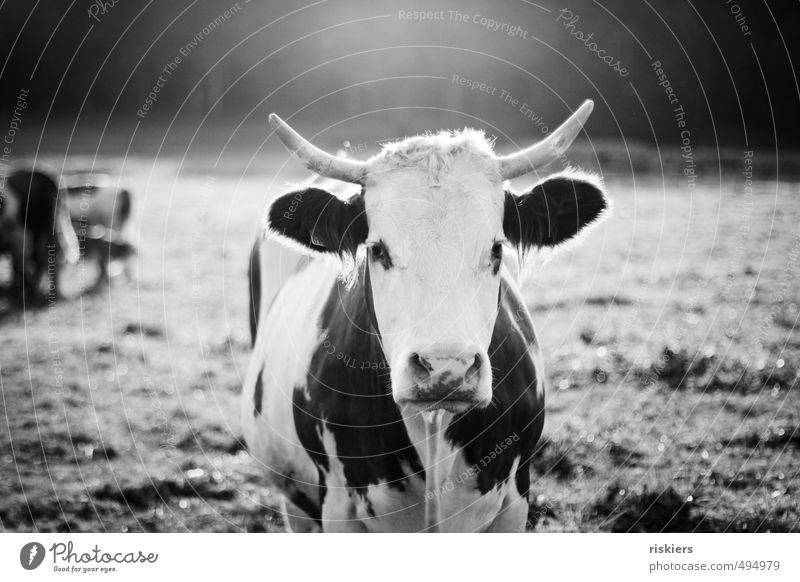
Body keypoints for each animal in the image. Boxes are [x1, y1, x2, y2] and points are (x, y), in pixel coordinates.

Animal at [242, 101, 608, 532]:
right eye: (377, 250)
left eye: (497, 248)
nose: (446, 369)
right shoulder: (338, 507)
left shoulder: (515, 499)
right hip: (296, 504)